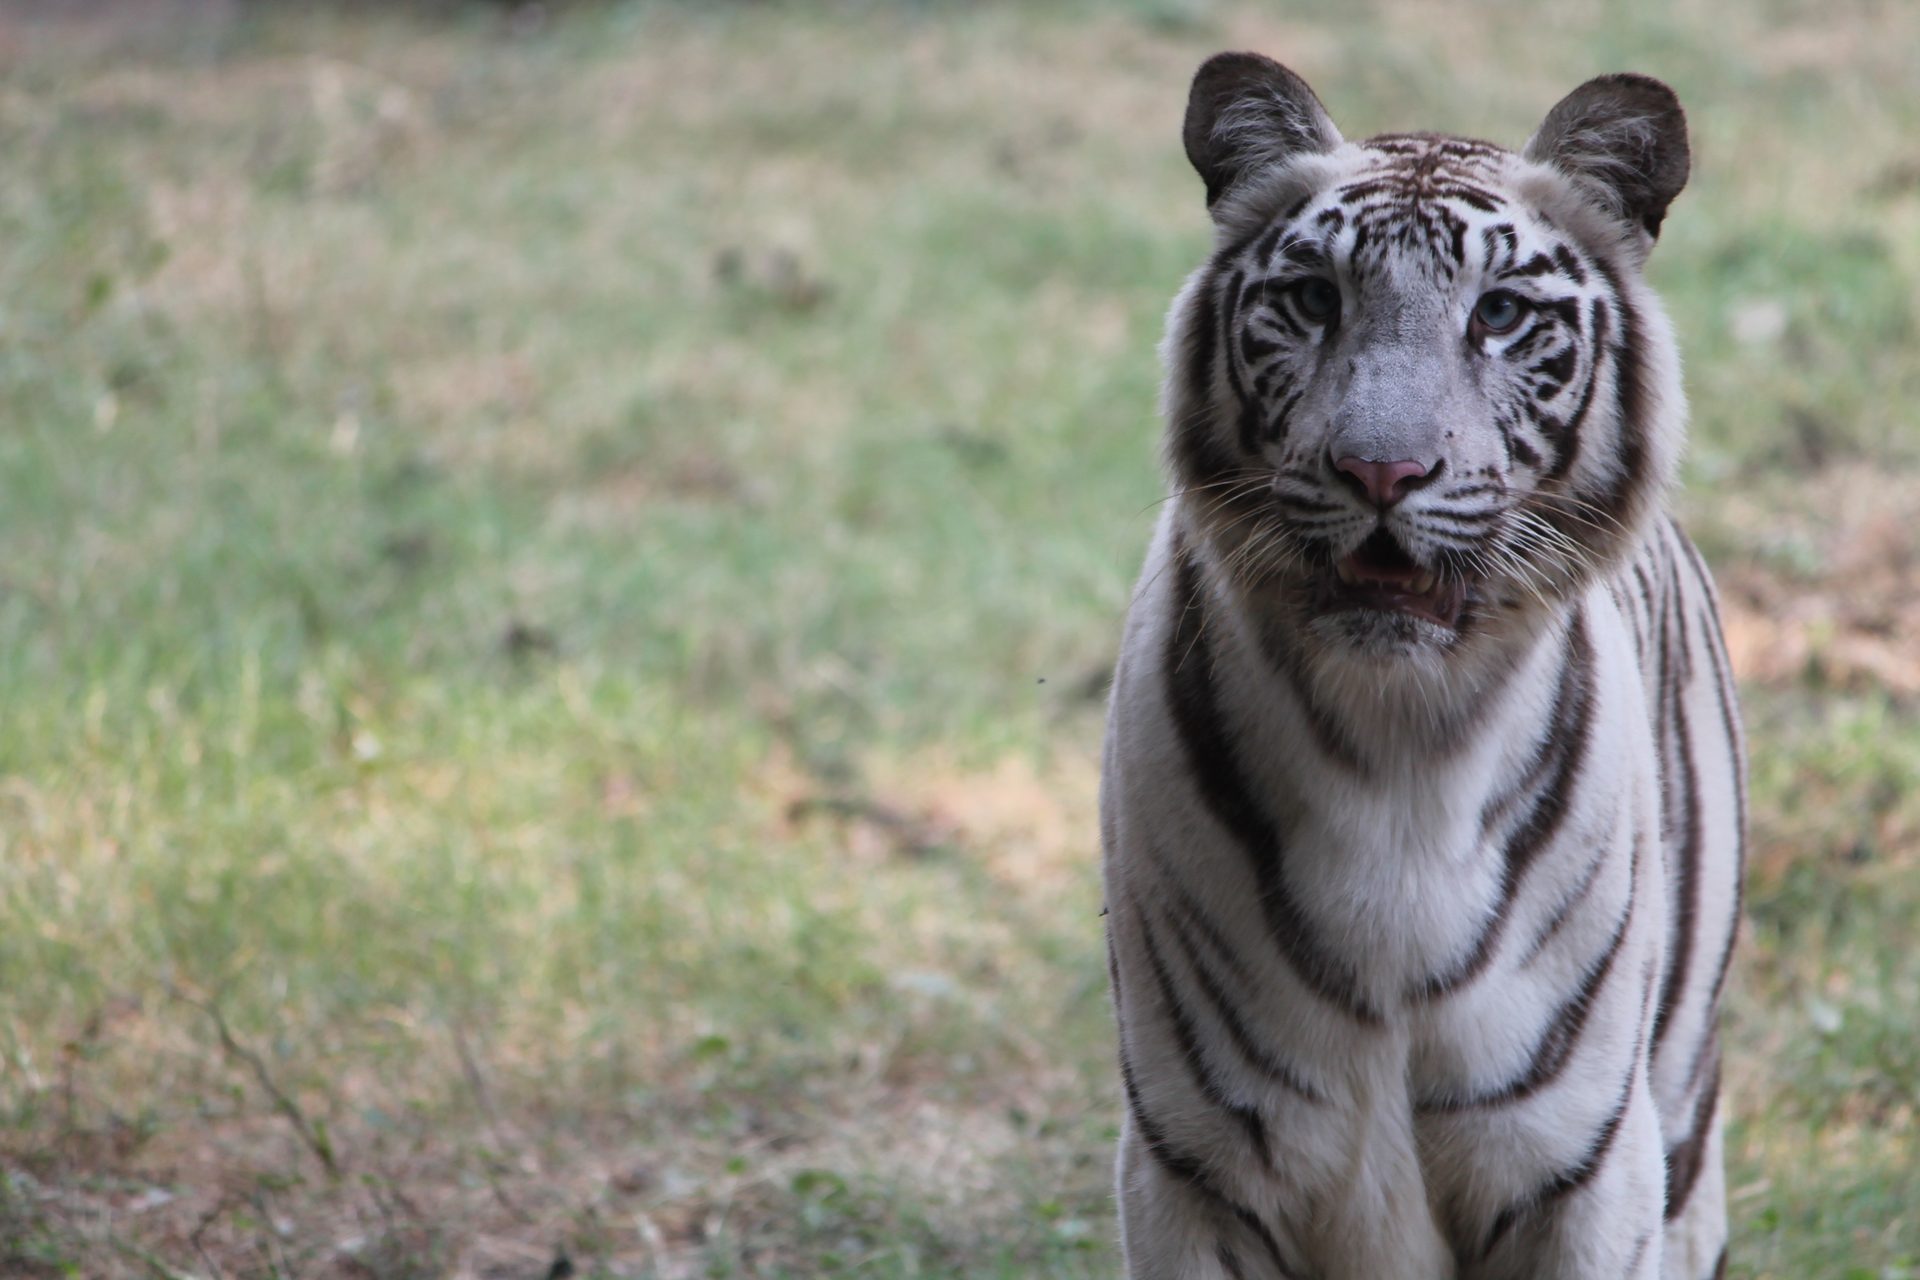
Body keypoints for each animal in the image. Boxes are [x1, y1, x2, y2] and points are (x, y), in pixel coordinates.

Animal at [1098, 52, 1743, 1280]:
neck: (1397, 741)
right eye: (1314, 300)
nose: (1381, 471)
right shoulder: (1194, 1166)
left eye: (1498, 314)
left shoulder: (1586, 1168)